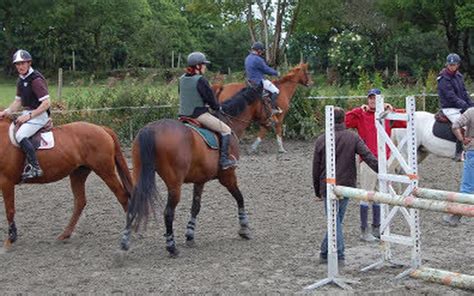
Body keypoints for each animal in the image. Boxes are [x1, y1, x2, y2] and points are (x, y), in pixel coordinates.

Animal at [0, 117, 131, 250]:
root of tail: (101, 128)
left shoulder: (6, 181)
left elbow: (9, 210)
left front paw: (10, 240)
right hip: (78, 174)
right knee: (80, 202)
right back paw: (65, 234)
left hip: (105, 171)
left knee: (122, 196)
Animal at [120, 85, 272, 256]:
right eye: (267, 101)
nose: (273, 122)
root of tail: (150, 130)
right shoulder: (228, 176)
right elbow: (240, 198)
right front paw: (244, 229)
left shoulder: (200, 180)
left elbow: (195, 207)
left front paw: (190, 235)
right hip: (175, 185)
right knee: (168, 212)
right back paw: (172, 247)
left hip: (139, 176)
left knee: (132, 206)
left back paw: (125, 242)